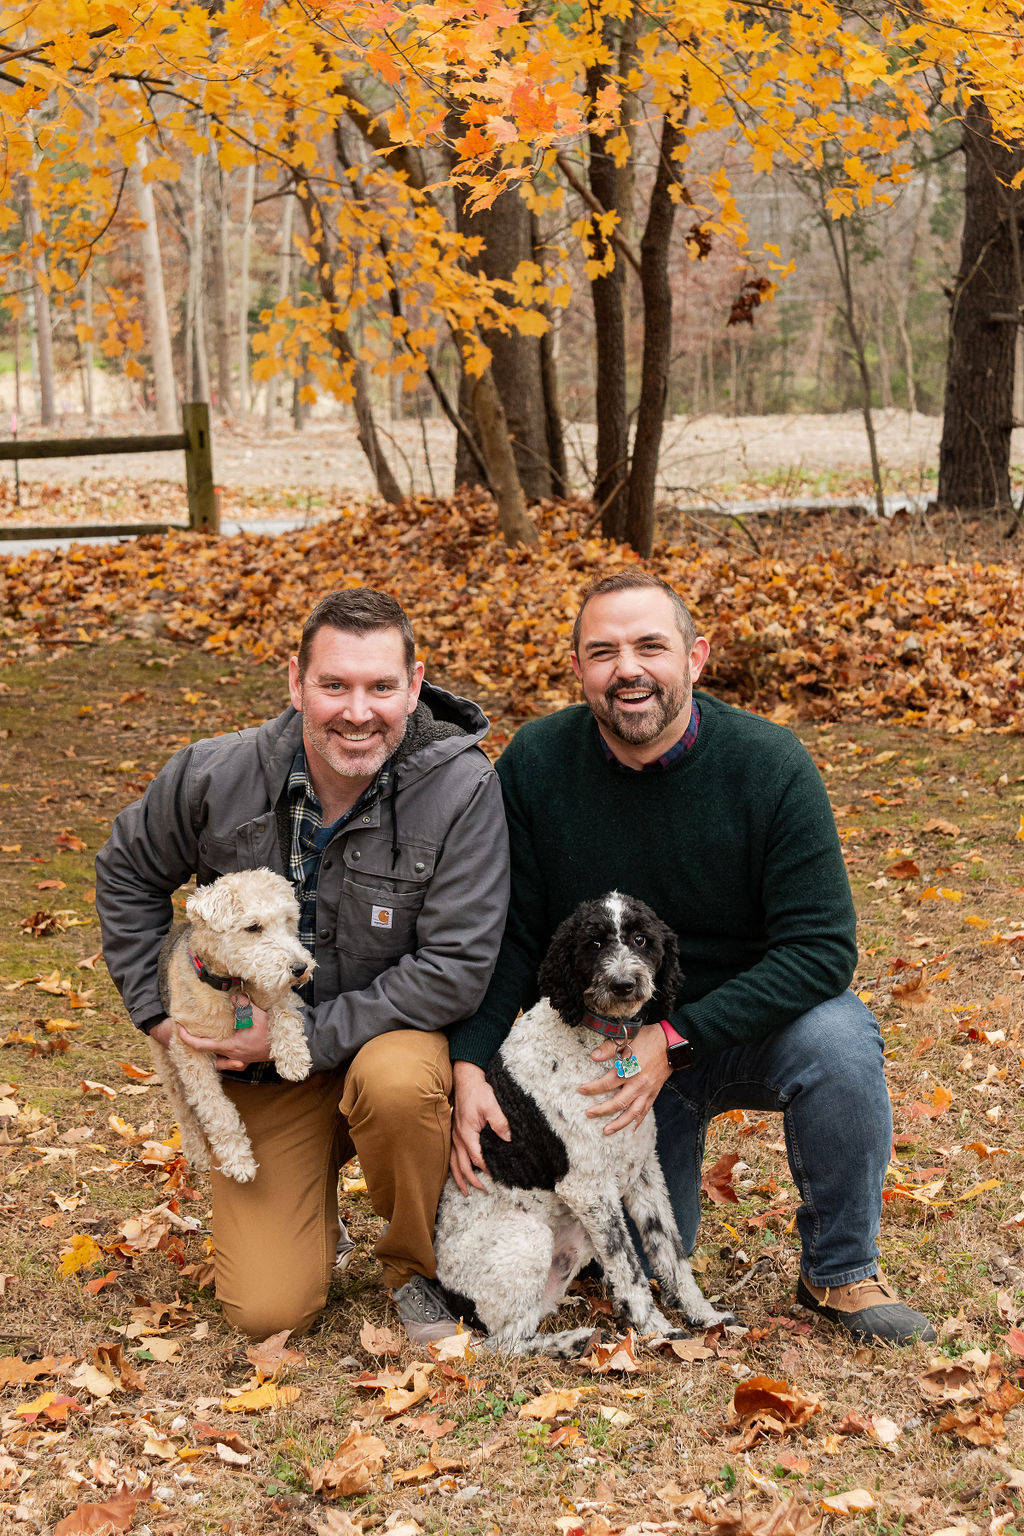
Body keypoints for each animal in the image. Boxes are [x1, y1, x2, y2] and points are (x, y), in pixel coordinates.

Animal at [154, 872, 314, 1179]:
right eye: (253, 927)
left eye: (288, 919)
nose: (300, 968)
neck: (231, 984)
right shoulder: (189, 1051)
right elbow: (217, 1110)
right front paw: (238, 1160)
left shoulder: (285, 996)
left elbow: (284, 1013)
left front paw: (293, 1059)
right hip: (168, 1065)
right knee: (185, 1112)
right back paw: (198, 1154)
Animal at [436, 890, 736, 1357]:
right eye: (592, 944)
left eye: (641, 939)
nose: (624, 984)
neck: (602, 1039)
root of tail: (452, 1300)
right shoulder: (589, 1187)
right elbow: (629, 1266)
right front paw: (657, 1329)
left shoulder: (643, 1171)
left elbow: (669, 1251)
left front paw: (702, 1314)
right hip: (529, 1238)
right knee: (503, 1343)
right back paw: (573, 1340)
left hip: (574, 1236)